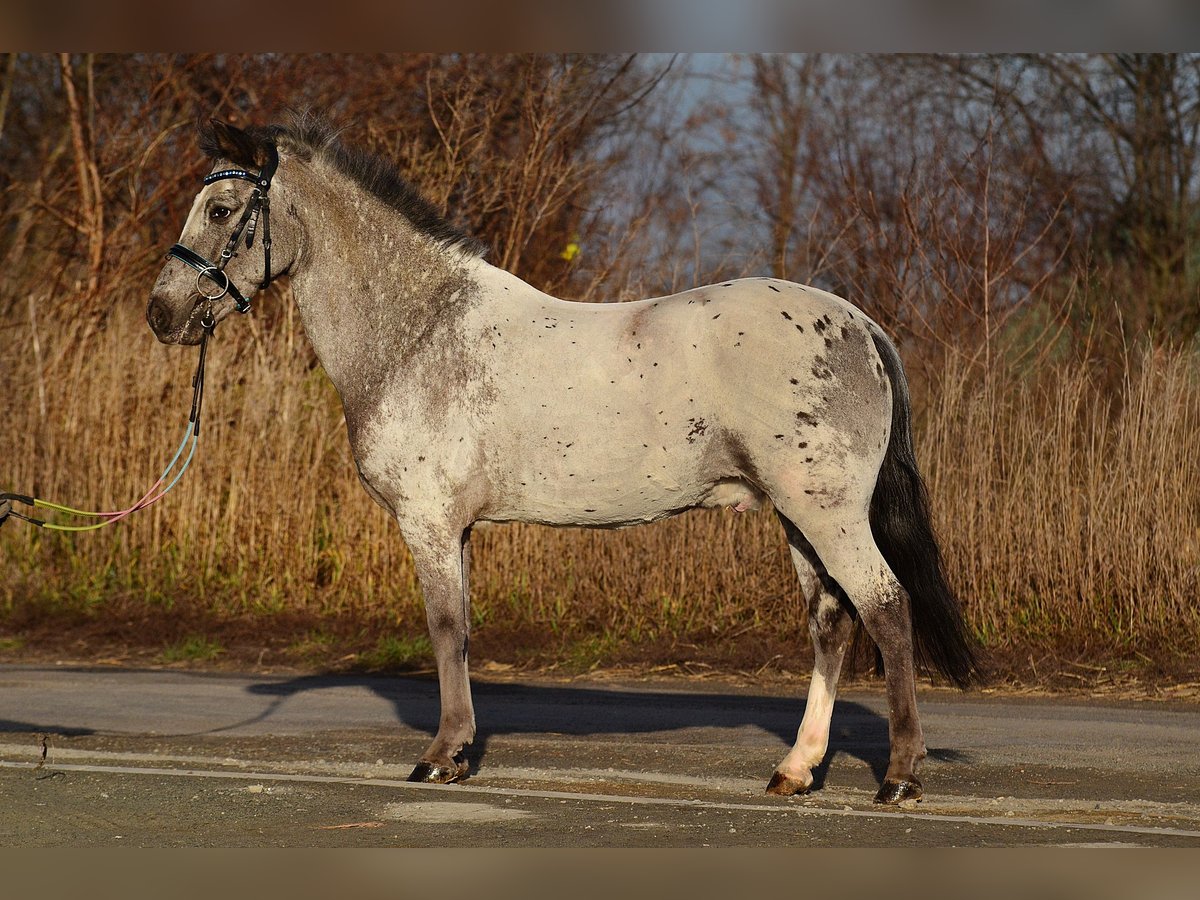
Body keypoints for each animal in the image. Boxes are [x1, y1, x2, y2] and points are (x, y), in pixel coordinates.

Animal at [147, 116, 974, 806]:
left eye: (220, 211)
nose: (162, 313)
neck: (422, 330)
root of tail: (861, 324)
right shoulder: (457, 528)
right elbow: (462, 629)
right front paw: (459, 751)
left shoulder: (429, 521)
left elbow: (444, 627)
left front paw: (440, 758)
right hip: (800, 519)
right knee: (832, 623)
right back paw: (796, 770)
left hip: (826, 512)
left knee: (886, 607)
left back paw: (901, 776)